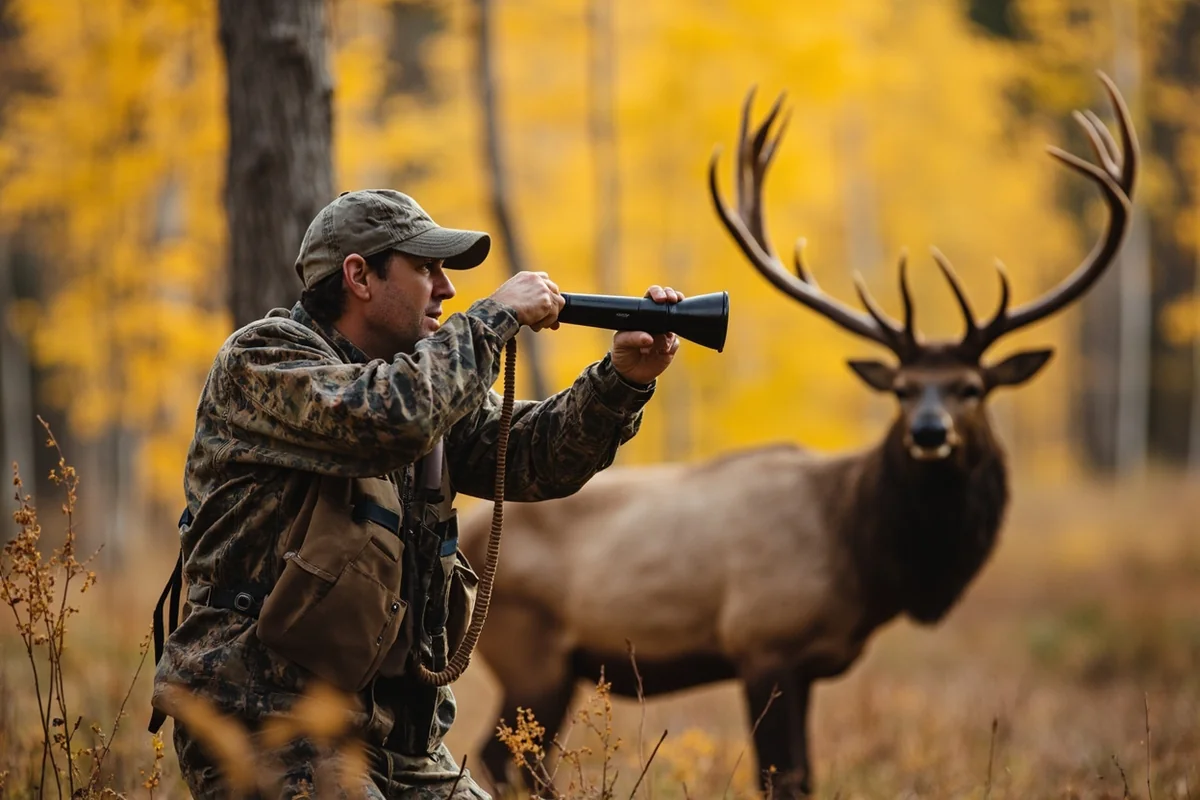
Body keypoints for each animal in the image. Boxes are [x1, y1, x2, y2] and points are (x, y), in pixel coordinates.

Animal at [459, 72, 1137, 798]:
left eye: (972, 387)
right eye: (901, 389)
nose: (929, 432)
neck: (868, 558)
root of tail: (472, 528)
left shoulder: (807, 665)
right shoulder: (766, 643)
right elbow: (784, 776)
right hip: (531, 653)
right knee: (503, 757)